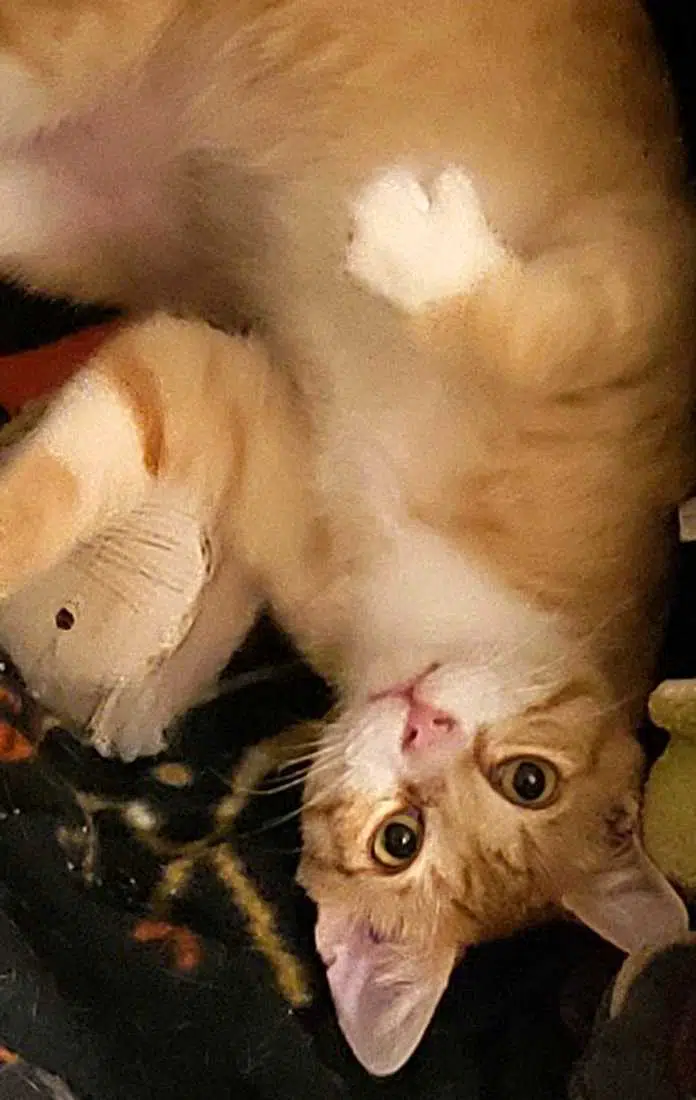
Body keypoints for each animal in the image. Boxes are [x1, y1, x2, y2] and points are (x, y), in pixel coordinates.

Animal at [0, 0, 694, 1077]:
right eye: (528, 779)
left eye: (397, 841)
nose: (423, 723)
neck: (431, 593)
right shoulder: (653, 290)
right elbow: (542, 329)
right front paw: (426, 256)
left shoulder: (225, 384)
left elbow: (135, 480)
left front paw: (156, 685)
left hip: (42, 219)